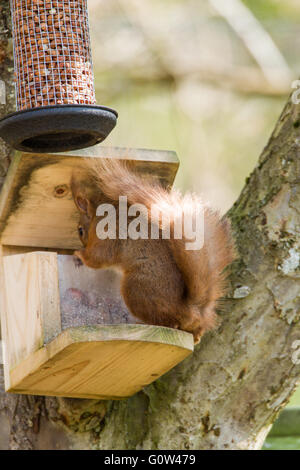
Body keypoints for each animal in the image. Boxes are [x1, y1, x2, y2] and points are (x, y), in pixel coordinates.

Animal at [71, 160, 236, 344]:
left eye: (80, 230)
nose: (78, 242)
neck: (98, 218)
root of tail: (187, 309)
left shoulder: (107, 238)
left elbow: (97, 259)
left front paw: (78, 254)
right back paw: (196, 335)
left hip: (136, 289)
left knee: (168, 323)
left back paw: (142, 323)